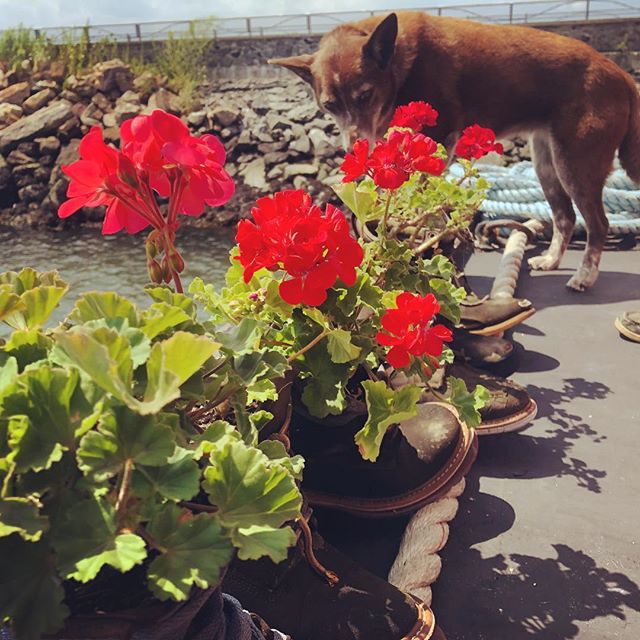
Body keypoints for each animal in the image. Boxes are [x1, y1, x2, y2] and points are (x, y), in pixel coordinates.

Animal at [272, 11, 640, 290]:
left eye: (365, 95)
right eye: (330, 105)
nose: (352, 147)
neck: (398, 63)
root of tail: (622, 75)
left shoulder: (440, 138)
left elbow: (422, 198)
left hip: (576, 162)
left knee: (598, 222)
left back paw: (584, 277)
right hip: (546, 161)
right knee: (565, 216)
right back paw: (551, 261)